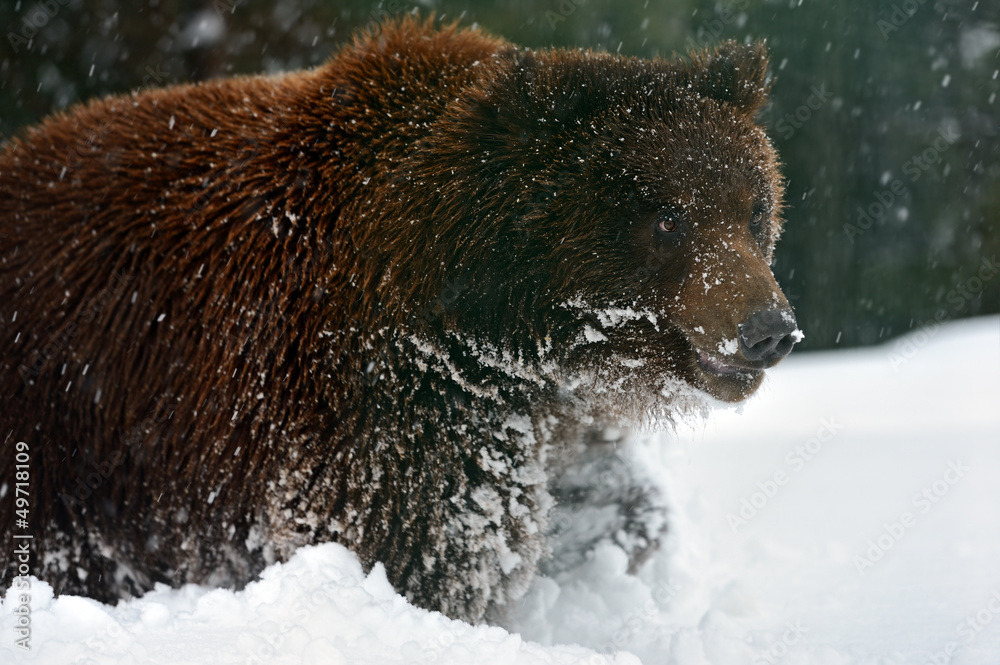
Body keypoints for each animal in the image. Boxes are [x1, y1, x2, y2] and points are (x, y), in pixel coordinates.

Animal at [0, 17, 799, 623]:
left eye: (754, 208)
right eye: (666, 219)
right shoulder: (375, 394)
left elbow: (599, 497)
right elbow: (418, 543)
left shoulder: (538, 411)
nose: (769, 328)